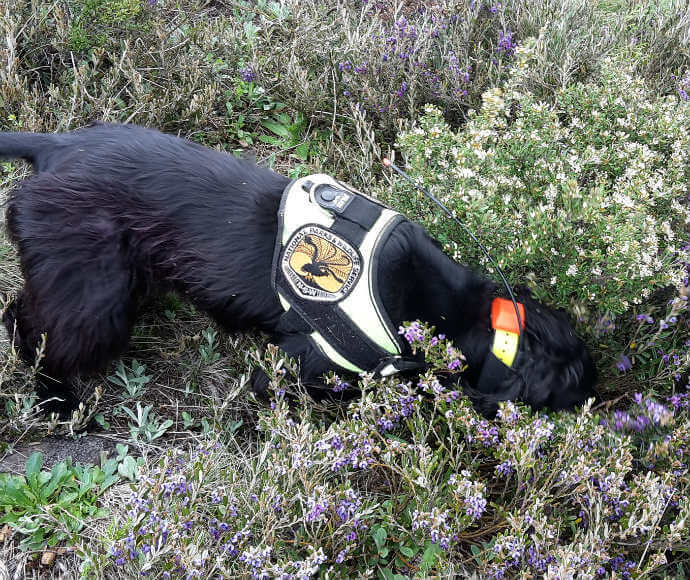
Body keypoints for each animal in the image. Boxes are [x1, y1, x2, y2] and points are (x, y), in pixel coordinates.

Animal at [0, 122, 592, 414]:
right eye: (568, 387)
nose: (598, 394)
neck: (456, 309)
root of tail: (53, 146)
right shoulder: (300, 364)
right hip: (94, 296)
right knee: (38, 334)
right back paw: (56, 404)